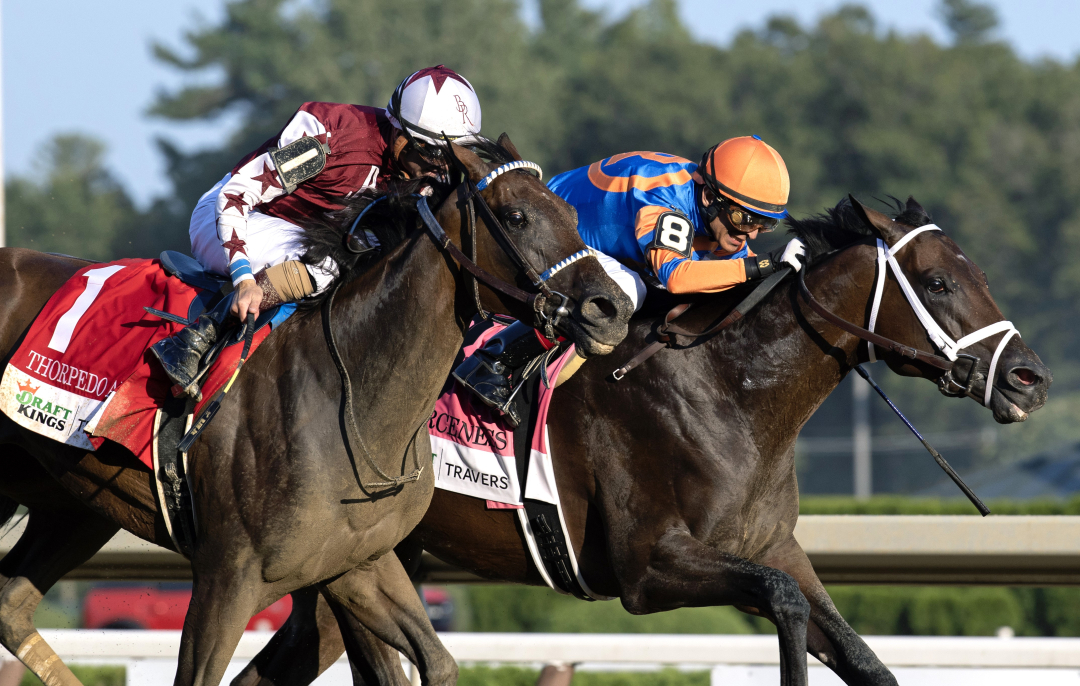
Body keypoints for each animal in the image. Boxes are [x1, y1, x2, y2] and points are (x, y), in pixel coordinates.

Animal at [0, 138, 630, 686]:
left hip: (72, 502)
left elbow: (437, 662)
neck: (346, 399)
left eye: (568, 211)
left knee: (10, 608)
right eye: (517, 215)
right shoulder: (226, 579)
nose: (613, 307)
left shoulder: (356, 564)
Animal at [232, 194, 1049, 686]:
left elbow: (864, 658)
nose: (1029, 379)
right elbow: (781, 603)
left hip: (365, 560)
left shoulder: (774, 548)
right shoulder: (647, 570)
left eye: (976, 273)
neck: (729, 389)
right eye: (939, 283)